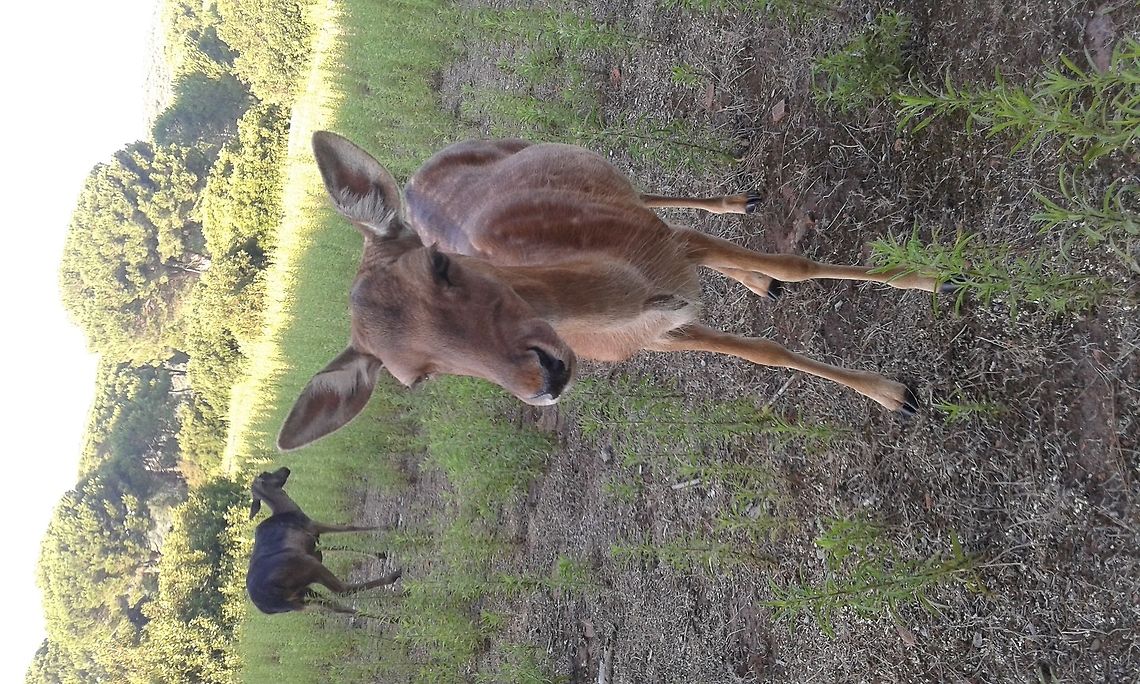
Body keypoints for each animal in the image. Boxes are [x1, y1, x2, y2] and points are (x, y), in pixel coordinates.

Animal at [246, 467, 401, 615]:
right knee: (342, 590)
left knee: (338, 608)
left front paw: (380, 554)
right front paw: (388, 527)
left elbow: (338, 547)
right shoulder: (312, 526)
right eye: (266, 473)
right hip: (307, 566)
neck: (287, 509)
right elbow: (349, 527)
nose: (285, 468)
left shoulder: (314, 543)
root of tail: (272, 601)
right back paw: (393, 577)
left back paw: (393, 616)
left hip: (302, 596)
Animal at [276, 132, 958, 451]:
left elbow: (797, 264)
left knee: (648, 191)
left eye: (442, 265)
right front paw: (892, 393)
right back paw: (753, 281)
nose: (544, 378)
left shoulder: (672, 247)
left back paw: (741, 204)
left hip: (569, 164)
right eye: (416, 378)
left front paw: (927, 279)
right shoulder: (663, 336)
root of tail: (413, 179)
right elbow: (765, 352)